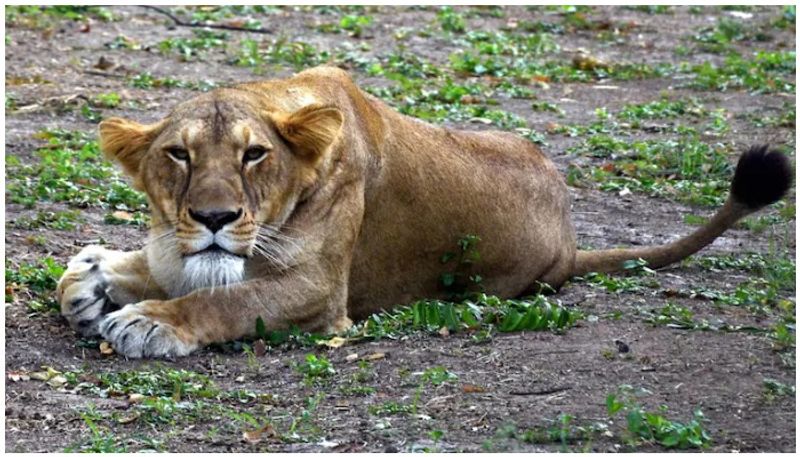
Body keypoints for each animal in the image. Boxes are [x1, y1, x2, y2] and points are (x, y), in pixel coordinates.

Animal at [57, 65, 792, 356]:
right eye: (178, 154)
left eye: (254, 154)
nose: (214, 217)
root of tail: (570, 238)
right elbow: (148, 267)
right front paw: (96, 278)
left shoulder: (320, 294)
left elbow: (225, 298)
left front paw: (150, 320)